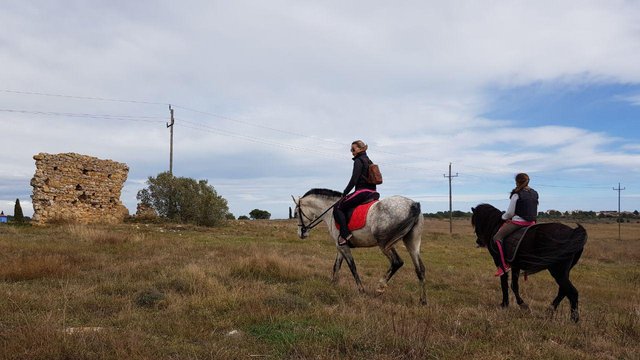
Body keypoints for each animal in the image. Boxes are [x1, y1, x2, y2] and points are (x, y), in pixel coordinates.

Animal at [292, 188, 428, 304]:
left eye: (296, 213)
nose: (301, 233)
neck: (330, 212)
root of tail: (413, 204)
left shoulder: (343, 247)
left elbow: (352, 267)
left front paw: (361, 291)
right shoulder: (340, 247)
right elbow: (336, 266)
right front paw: (333, 285)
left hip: (384, 244)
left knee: (397, 262)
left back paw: (380, 287)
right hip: (412, 242)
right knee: (420, 269)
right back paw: (422, 301)